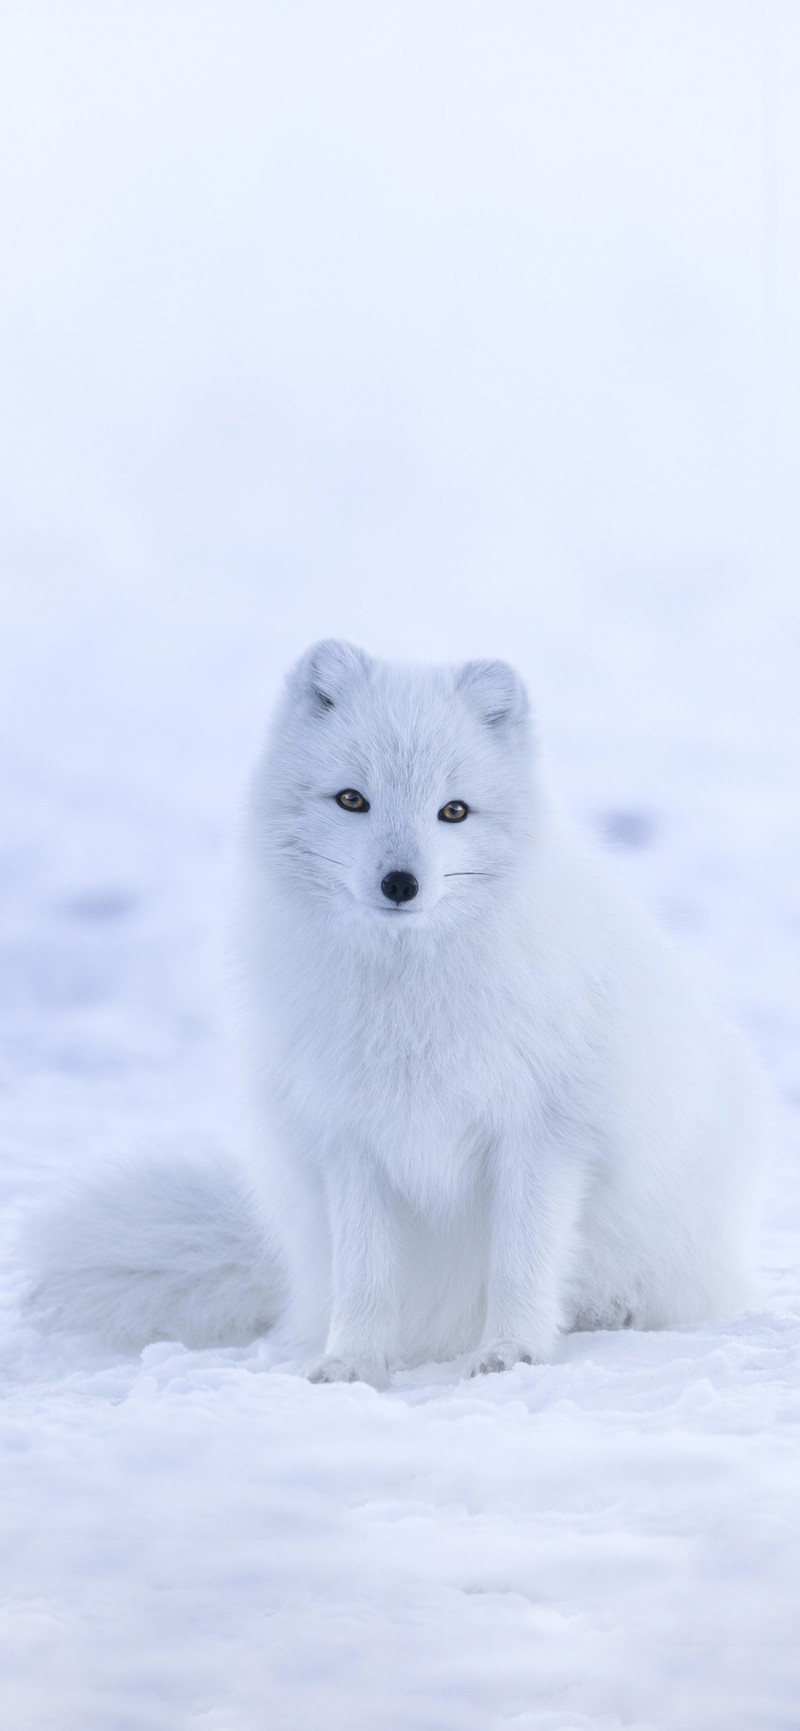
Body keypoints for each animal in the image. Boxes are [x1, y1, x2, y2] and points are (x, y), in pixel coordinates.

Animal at [25, 643, 765, 1384]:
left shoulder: (543, 1131)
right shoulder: (350, 1137)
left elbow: (521, 1260)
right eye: (353, 799)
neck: (409, 996)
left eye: (454, 811)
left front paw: (512, 1351)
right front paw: (351, 1362)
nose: (401, 884)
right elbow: (365, 1273)